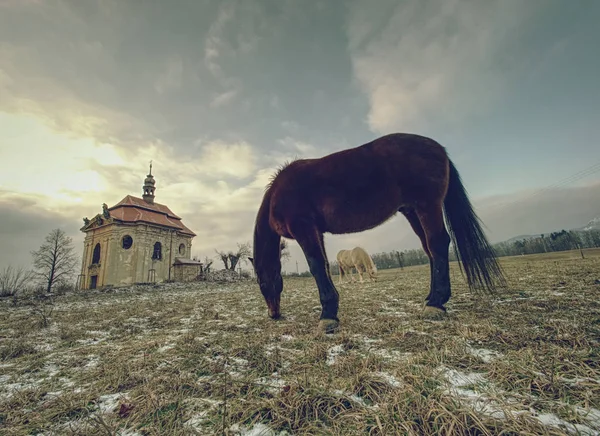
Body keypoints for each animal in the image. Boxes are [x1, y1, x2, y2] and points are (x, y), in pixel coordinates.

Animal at [250, 132, 506, 330]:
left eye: (262, 283)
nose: (273, 314)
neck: (279, 194)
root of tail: (439, 149)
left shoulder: (304, 228)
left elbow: (316, 267)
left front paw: (328, 316)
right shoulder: (316, 232)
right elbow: (325, 267)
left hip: (427, 206)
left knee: (438, 243)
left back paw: (435, 303)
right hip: (412, 211)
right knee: (429, 248)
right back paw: (432, 298)